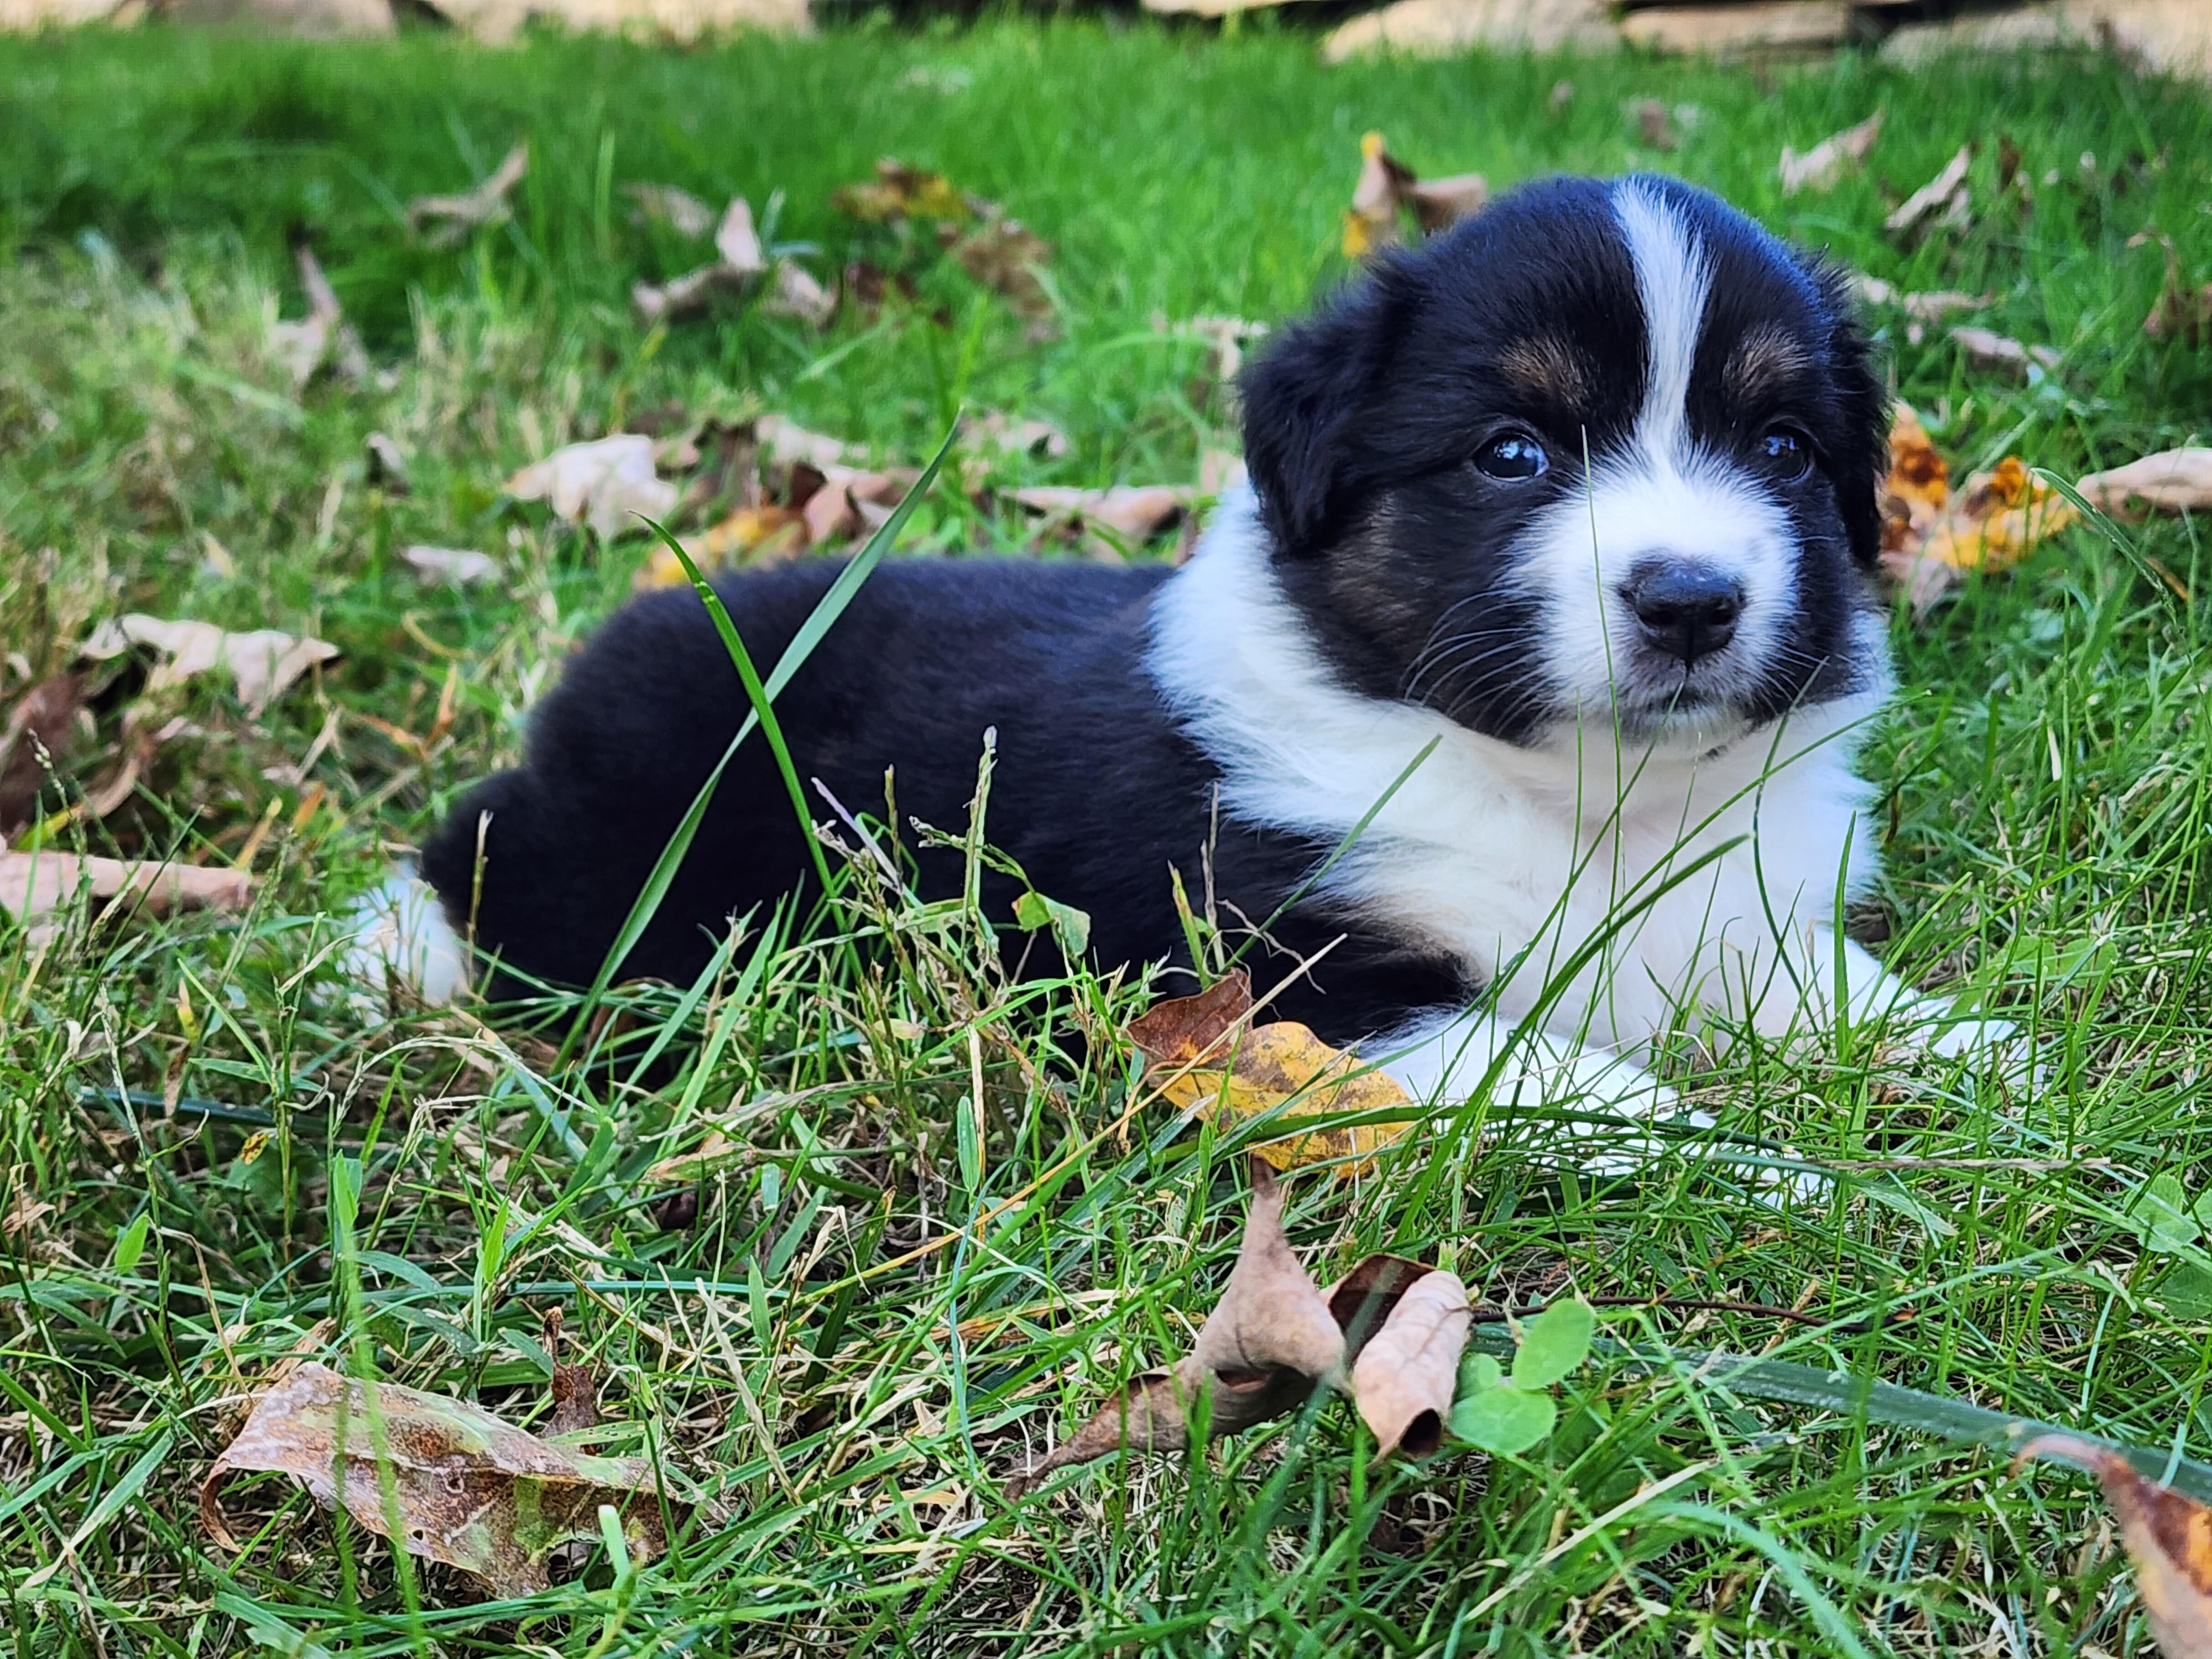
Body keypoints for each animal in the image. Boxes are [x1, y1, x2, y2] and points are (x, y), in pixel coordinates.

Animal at [402, 173, 2017, 1128]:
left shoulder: (1738, 921)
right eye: (1511, 453)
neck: (1577, 797)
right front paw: (1754, 1165)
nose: (1691, 600)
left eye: (1784, 448)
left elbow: (1848, 998)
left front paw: (1995, 1065)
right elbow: (1566, 1083)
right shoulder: (1276, 984)